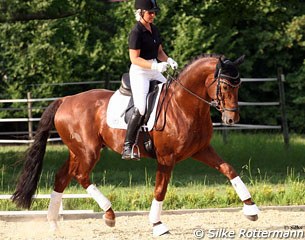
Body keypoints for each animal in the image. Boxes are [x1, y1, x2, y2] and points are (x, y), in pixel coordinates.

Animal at [12, 54, 258, 236]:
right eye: (224, 86)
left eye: (238, 85)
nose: (231, 119)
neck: (184, 104)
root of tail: (66, 100)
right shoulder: (166, 158)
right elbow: (160, 189)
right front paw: (157, 225)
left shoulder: (201, 150)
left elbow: (229, 169)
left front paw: (251, 208)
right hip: (89, 151)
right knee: (80, 175)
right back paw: (109, 214)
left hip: (77, 151)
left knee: (62, 177)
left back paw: (53, 223)